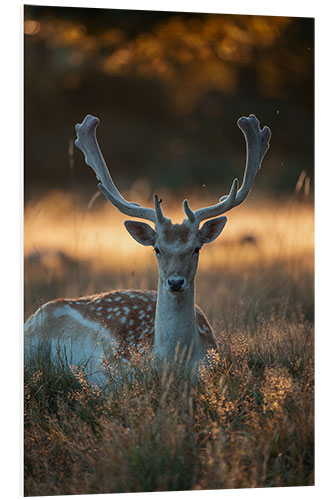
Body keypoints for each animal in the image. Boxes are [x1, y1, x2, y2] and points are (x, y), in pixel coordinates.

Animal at [24, 115, 272, 384]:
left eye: (196, 248)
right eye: (157, 249)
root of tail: (40, 310)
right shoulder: (108, 371)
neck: (172, 363)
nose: (175, 281)